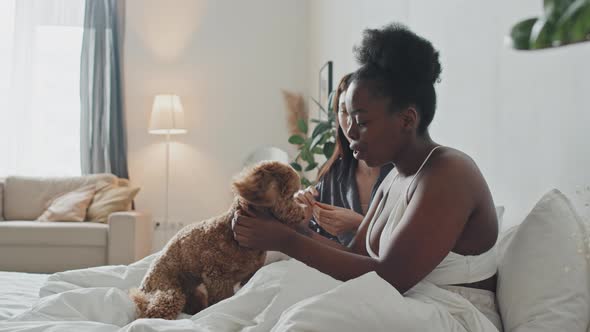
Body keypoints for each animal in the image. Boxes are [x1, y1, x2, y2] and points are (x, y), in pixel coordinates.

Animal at [130, 160, 306, 320]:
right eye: (291, 195)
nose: (304, 214)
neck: (233, 234)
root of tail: (144, 286)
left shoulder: (250, 274)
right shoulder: (217, 277)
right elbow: (222, 299)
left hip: (194, 292)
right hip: (169, 290)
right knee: (152, 310)